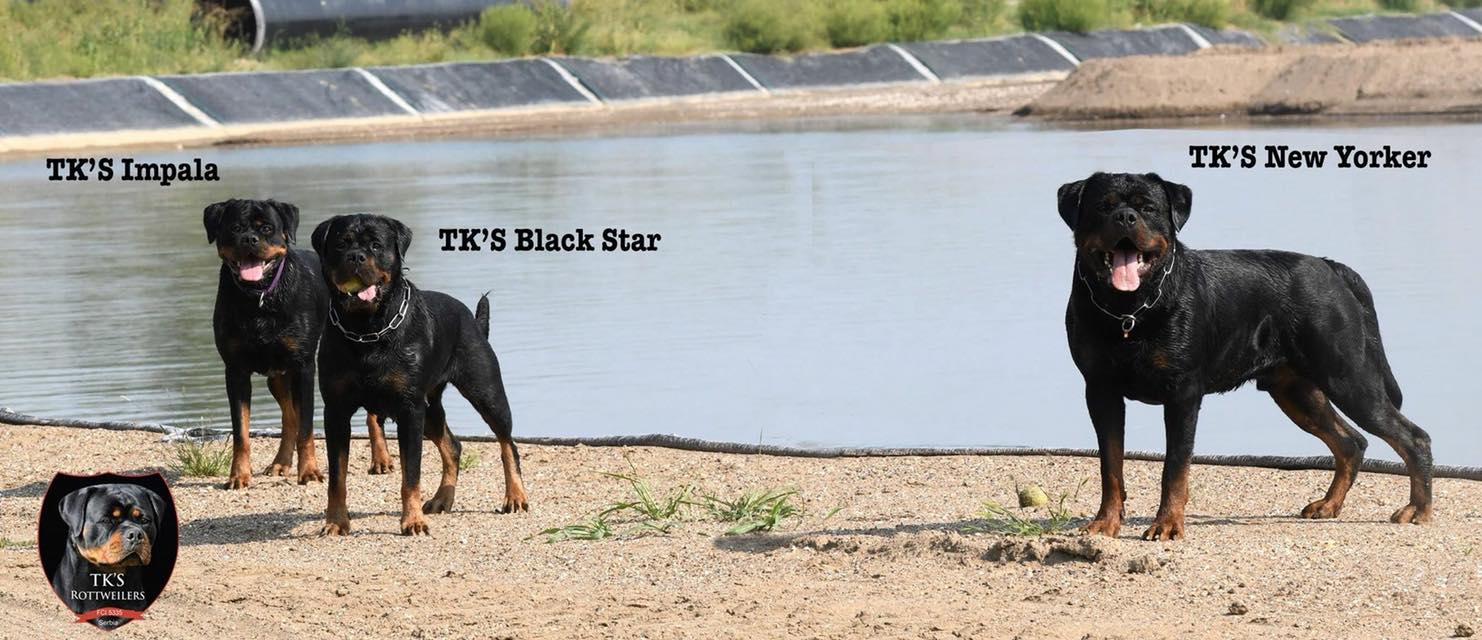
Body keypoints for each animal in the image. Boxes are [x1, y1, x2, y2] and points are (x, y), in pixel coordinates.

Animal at [205, 199, 395, 489]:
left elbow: (306, 428)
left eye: (267, 228)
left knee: (369, 414)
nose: (249, 239)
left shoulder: (303, 367)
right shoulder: (235, 370)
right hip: (277, 376)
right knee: (288, 417)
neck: (260, 298)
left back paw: (381, 459)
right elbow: (242, 432)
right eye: (235, 228)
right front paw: (238, 475)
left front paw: (309, 472)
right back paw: (280, 463)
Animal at [311, 213, 528, 536]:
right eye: (340, 244)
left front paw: (412, 521)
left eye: (376, 245)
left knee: (507, 443)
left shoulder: (409, 410)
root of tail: (472, 319)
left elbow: (410, 474)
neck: (367, 329)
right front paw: (336, 522)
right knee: (452, 446)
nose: (356, 256)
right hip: (430, 407)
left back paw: (515, 496)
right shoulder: (335, 411)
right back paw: (442, 499)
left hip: (485, 391)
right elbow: (337, 476)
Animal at [1057, 172, 1433, 540]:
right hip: (1297, 391)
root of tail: (1330, 267)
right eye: (1103, 207)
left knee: (1412, 437)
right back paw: (1329, 505)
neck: (1130, 311)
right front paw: (1105, 523)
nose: (1125, 217)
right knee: (1351, 441)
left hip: (1347, 377)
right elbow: (1110, 465)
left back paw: (1418, 510)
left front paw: (1167, 525)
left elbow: (1174, 467)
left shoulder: (1182, 394)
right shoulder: (1101, 390)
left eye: (1147, 208)